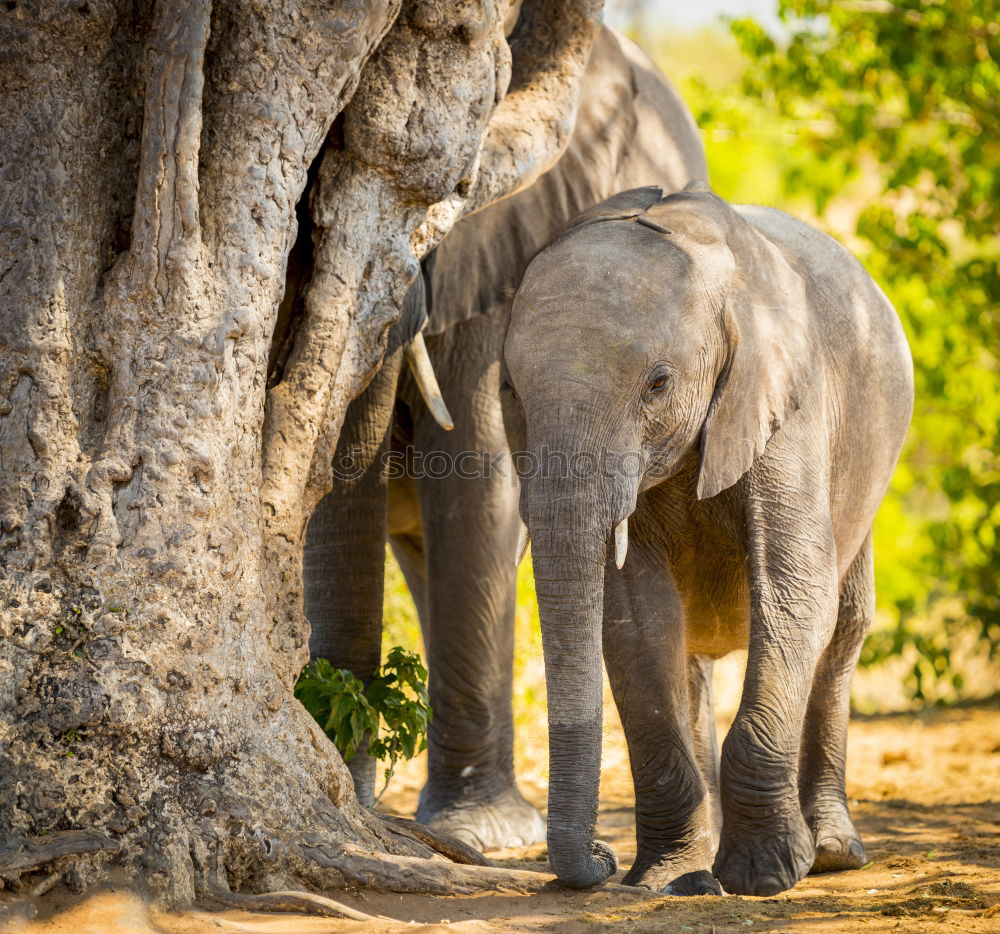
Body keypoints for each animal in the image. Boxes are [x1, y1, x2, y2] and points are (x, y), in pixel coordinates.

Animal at [508, 185, 916, 900]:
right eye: (510, 392)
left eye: (658, 383)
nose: (600, 857)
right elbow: (635, 621)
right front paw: (669, 880)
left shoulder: (786, 401)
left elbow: (793, 591)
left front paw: (765, 876)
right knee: (690, 657)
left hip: (872, 465)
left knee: (843, 628)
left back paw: (833, 853)